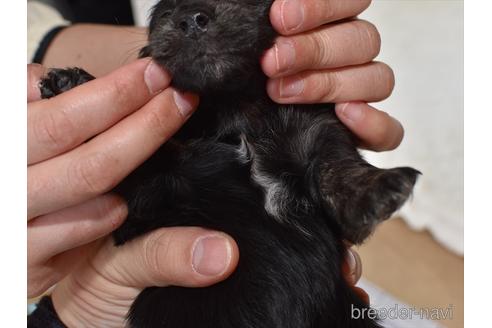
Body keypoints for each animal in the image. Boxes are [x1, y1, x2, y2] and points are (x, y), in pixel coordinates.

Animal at [40, 0, 420, 328]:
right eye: (164, 11)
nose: (191, 19)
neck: (239, 111)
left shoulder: (315, 131)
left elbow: (337, 166)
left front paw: (381, 189)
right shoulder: (152, 198)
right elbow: (147, 159)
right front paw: (70, 83)